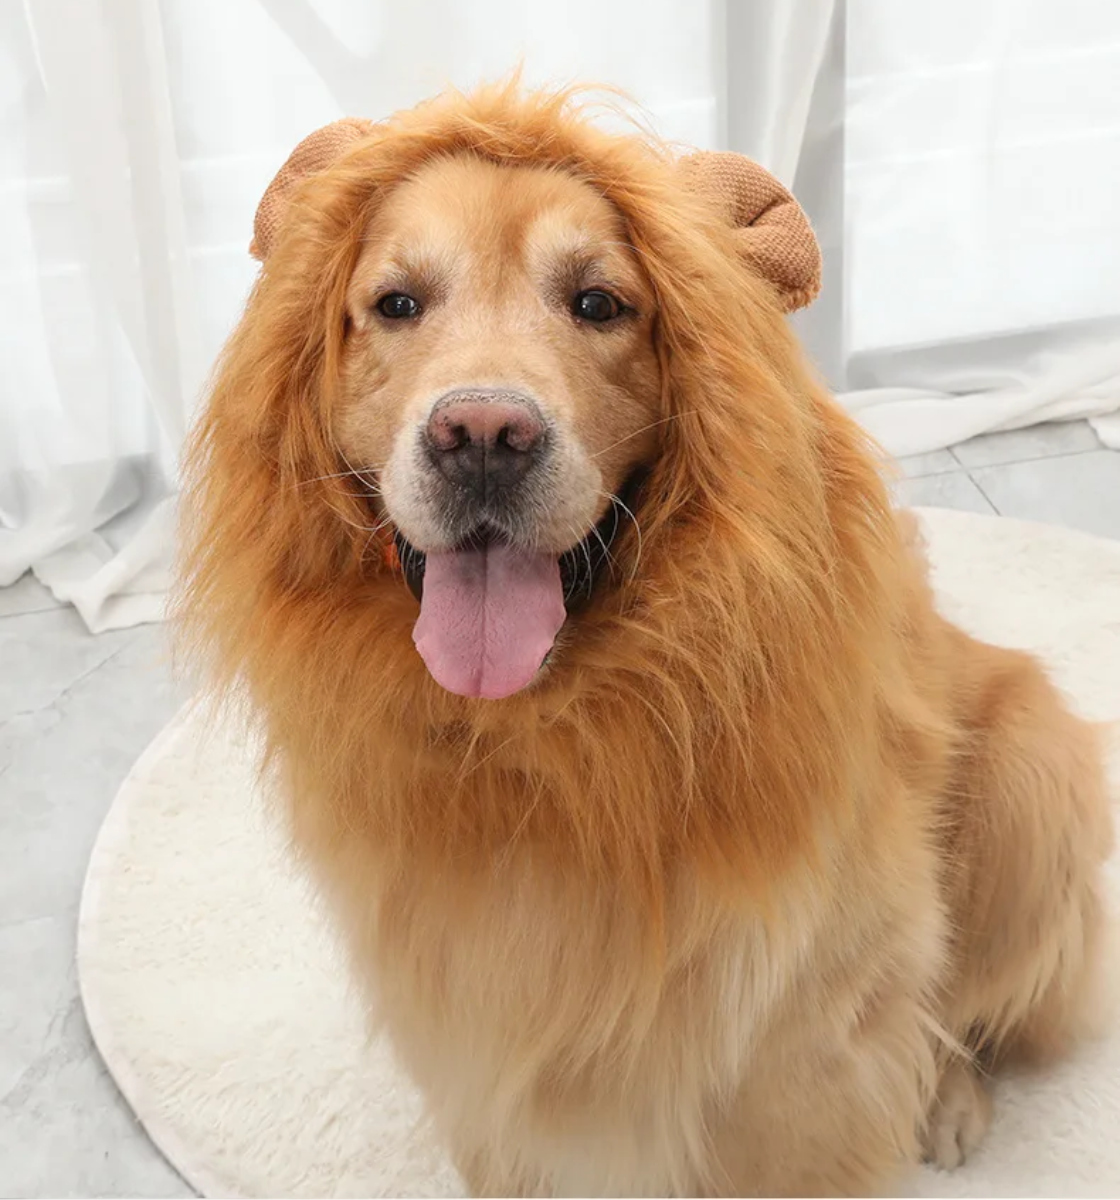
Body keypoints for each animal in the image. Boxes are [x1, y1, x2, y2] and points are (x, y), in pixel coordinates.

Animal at [175, 79, 1109, 1195]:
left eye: (598, 303)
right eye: (396, 303)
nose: (482, 437)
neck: (547, 742)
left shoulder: (811, 1034)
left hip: (1031, 781)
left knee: (966, 1009)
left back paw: (951, 1100)